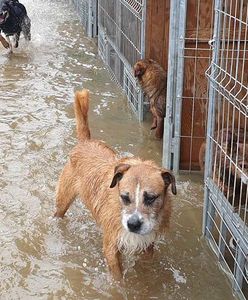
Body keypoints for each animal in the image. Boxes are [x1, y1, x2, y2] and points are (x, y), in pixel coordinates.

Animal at [55, 88, 177, 280]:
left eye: (151, 198)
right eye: (125, 197)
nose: (133, 224)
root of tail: (85, 142)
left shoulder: (148, 245)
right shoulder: (111, 247)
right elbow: (118, 279)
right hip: (63, 200)